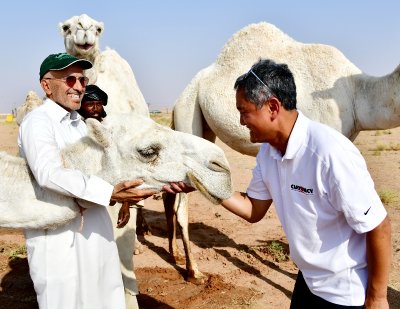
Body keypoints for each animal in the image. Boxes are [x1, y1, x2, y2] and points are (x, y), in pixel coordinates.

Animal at [166, 20, 400, 282]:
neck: (358, 93)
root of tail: (180, 98)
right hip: (188, 111)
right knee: (180, 208)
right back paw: (194, 271)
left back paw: (176, 255)